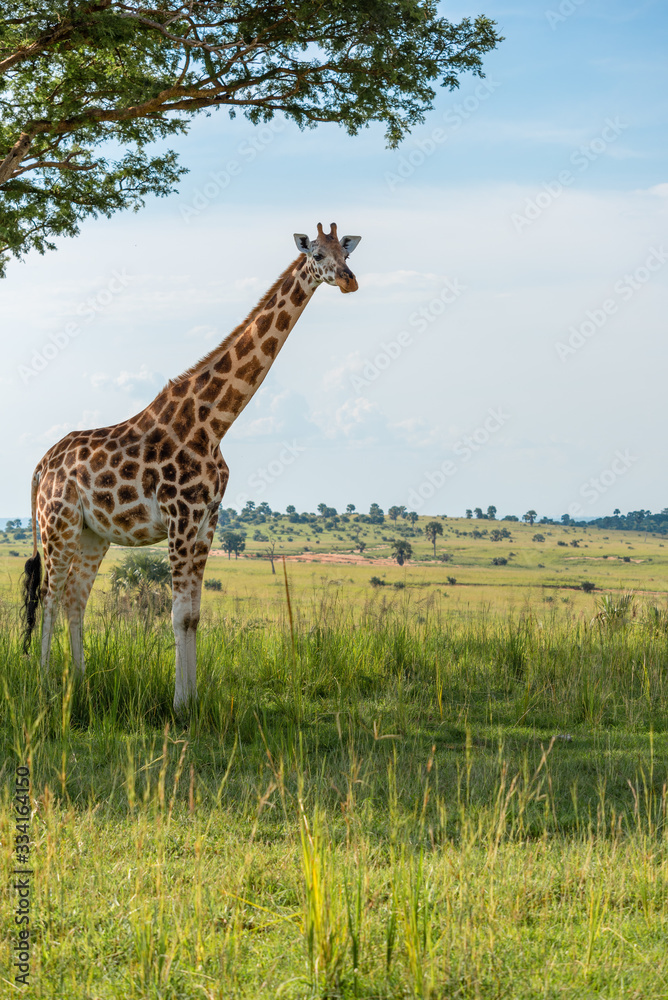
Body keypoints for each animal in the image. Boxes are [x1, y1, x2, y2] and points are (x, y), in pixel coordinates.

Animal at [21, 223, 361, 711]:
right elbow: (179, 614)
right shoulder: (181, 518)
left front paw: (194, 699)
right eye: (316, 253)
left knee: (74, 598)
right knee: (48, 594)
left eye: (346, 252)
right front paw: (181, 705)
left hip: (92, 533)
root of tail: (40, 465)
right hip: (57, 523)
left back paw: (79, 682)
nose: (350, 281)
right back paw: (47, 684)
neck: (215, 422)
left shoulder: (206, 521)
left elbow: (195, 615)